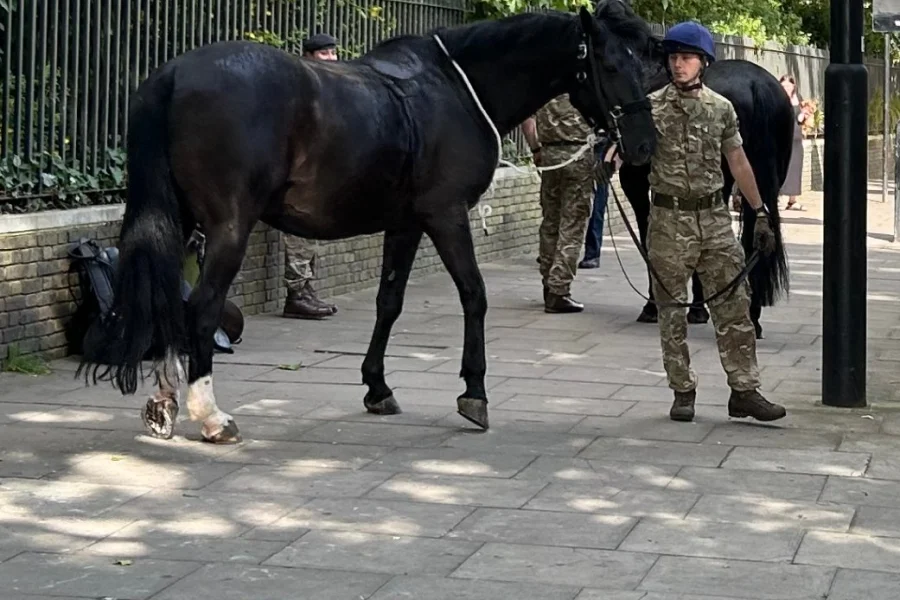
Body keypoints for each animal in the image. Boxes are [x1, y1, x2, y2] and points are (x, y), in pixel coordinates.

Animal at [77, 2, 656, 442]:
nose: (644, 146)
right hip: (228, 227)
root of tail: (173, 74)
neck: (457, 88)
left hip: (179, 220)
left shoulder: (406, 223)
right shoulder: (445, 215)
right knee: (199, 309)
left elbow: (389, 301)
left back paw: (164, 403)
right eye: (609, 65)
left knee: (167, 301)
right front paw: (474, 392)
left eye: (642, 63)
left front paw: (377, 388)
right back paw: (212, 416)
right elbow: (474, 294)